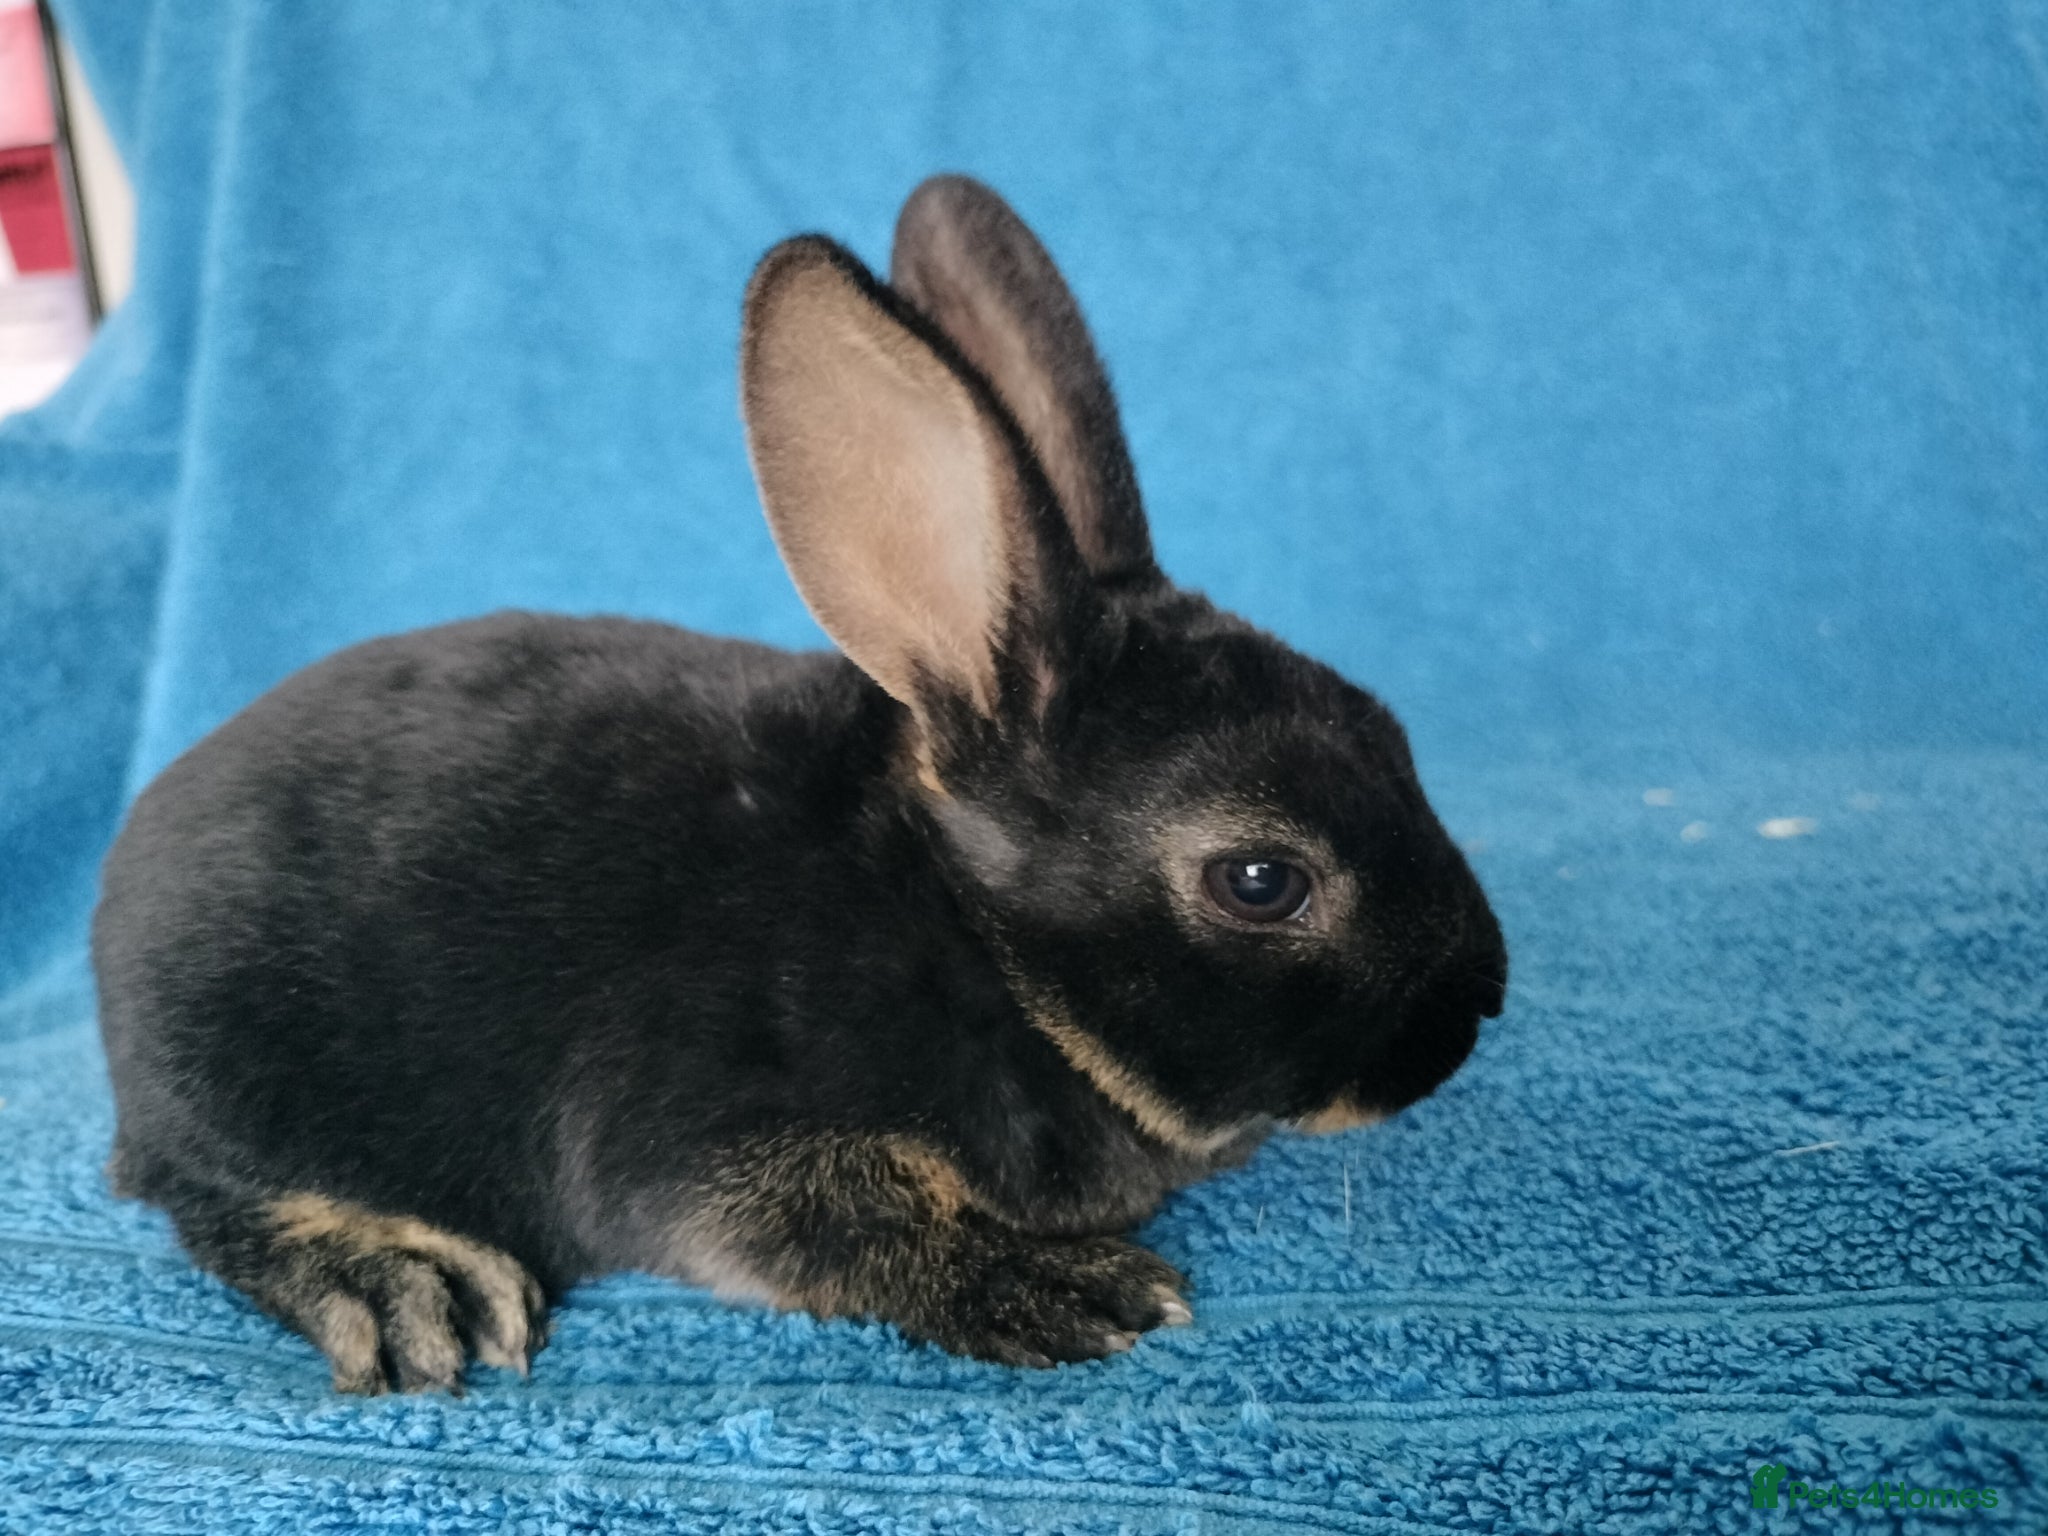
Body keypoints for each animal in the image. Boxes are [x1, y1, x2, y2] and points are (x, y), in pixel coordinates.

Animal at [92, 175, 1507, 1392]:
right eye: (1261, 881)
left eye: (1392, 736)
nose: (1477, 1002)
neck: (977, 946)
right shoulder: (714, 1152)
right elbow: (843, 1228)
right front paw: (1071, 1293)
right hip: (233, 1077)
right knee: (209, 1201)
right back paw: (402, 1285)